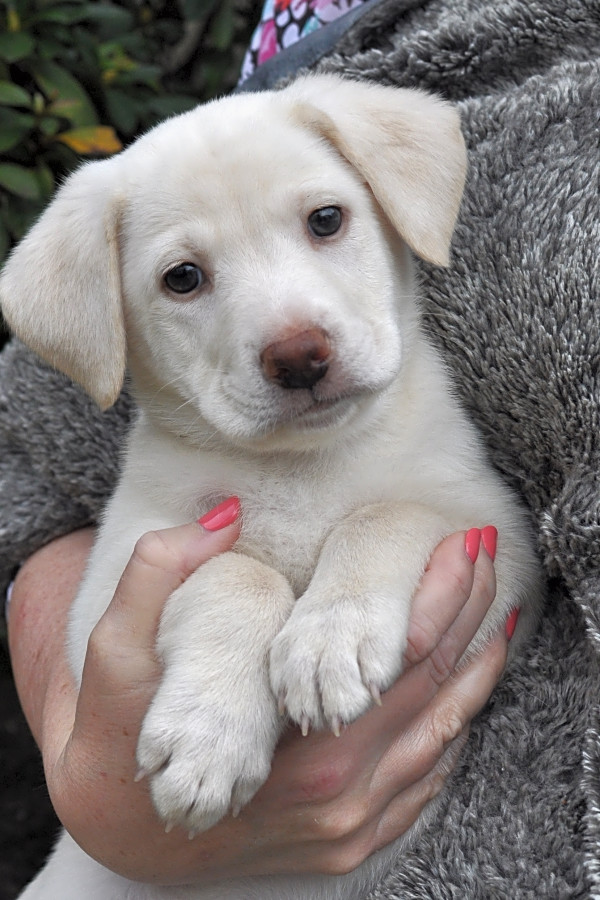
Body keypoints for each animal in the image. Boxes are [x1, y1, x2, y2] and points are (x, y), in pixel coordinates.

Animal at [1, 75, 544, 900]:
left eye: (326, 220)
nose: (300, 356)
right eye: (182, 278)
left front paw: (330, 640)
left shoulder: (501, 552)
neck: (300, 466)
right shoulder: (105, 595)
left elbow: (384, 513)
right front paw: (210, 735)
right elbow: (238, 572)